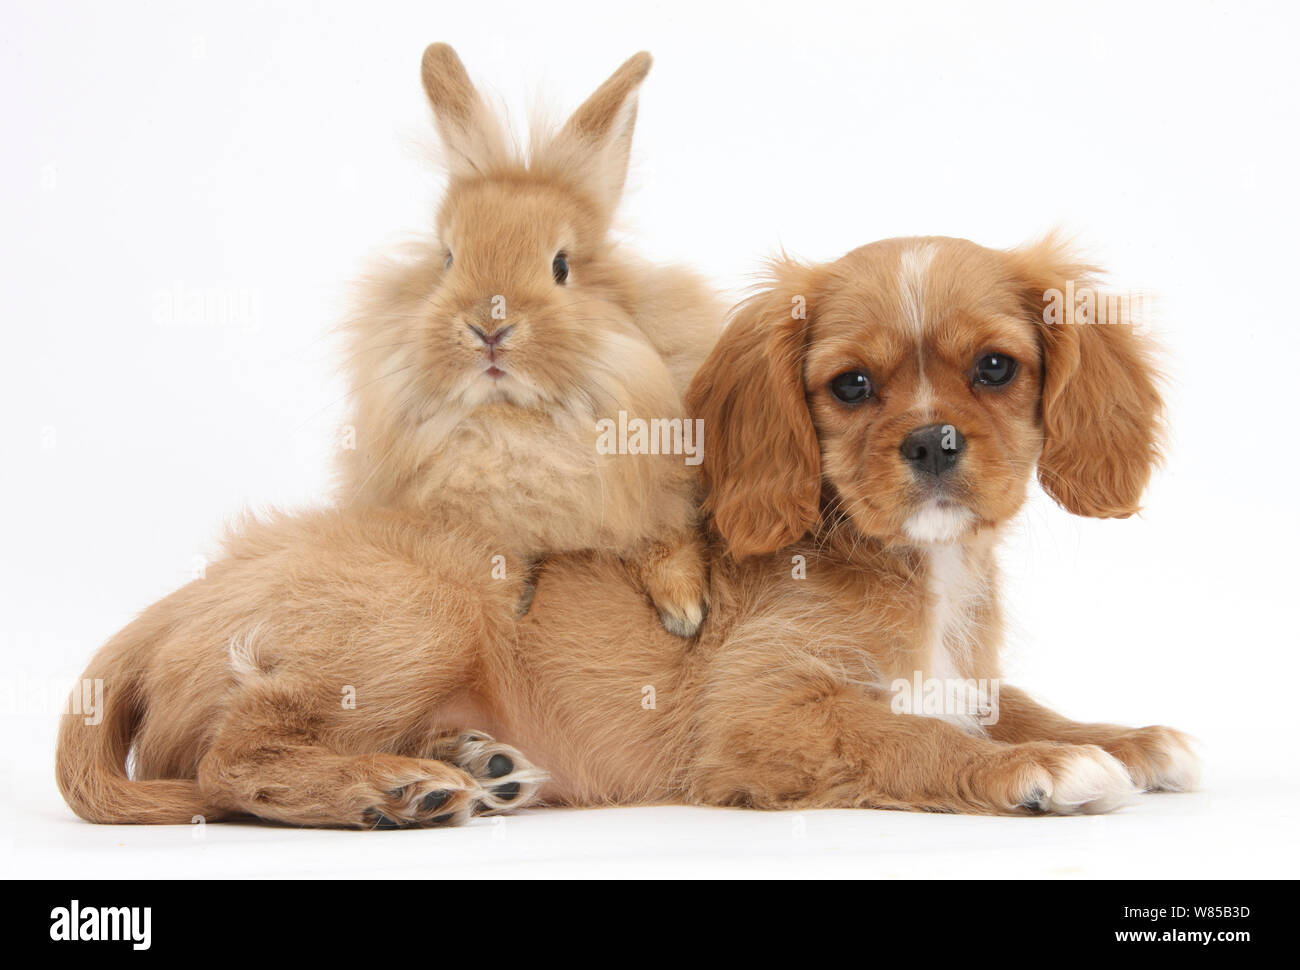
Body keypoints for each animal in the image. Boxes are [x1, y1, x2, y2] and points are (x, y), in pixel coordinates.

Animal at [336, 45, 724, 636]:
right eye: (448, 259)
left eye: (561, 266)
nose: (489, 329)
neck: (515, 426)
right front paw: (513, 597)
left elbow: (666, 540)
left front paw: (685, 612)